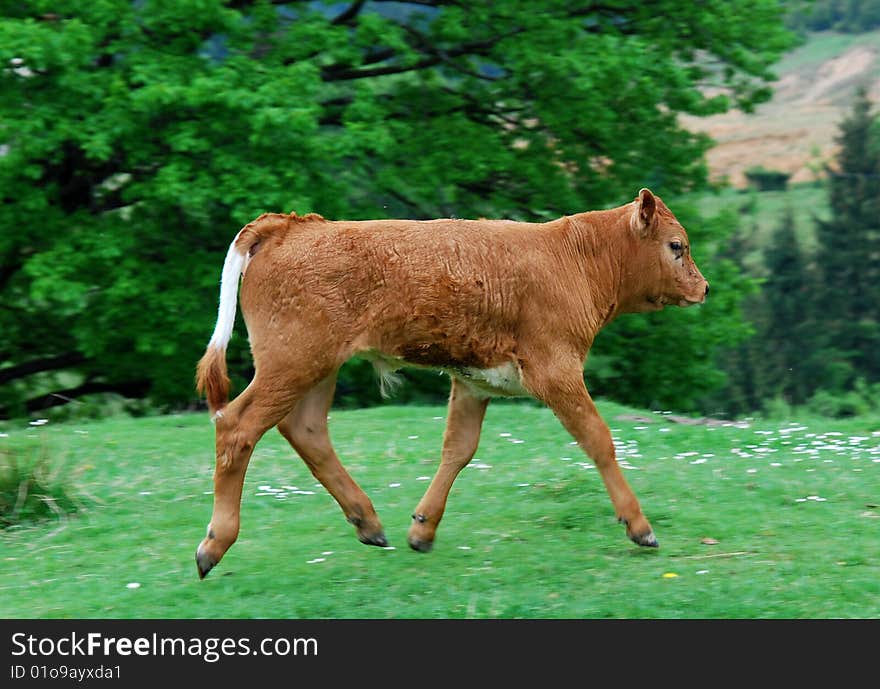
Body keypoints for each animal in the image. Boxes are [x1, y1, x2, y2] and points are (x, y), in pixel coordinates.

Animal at [192, 187, 708, 576]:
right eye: (677, 246)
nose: (704, 288)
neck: (575, 259)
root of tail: (294, 224)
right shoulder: (557, 370)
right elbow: (598, 439)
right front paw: (639, 525)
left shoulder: (474, 383)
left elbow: (458, 449)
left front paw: (423, 527)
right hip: (291, 363)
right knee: (237, 426)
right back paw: (215, 542)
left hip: (316, 368)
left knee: (306, 430)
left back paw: (367, 521)